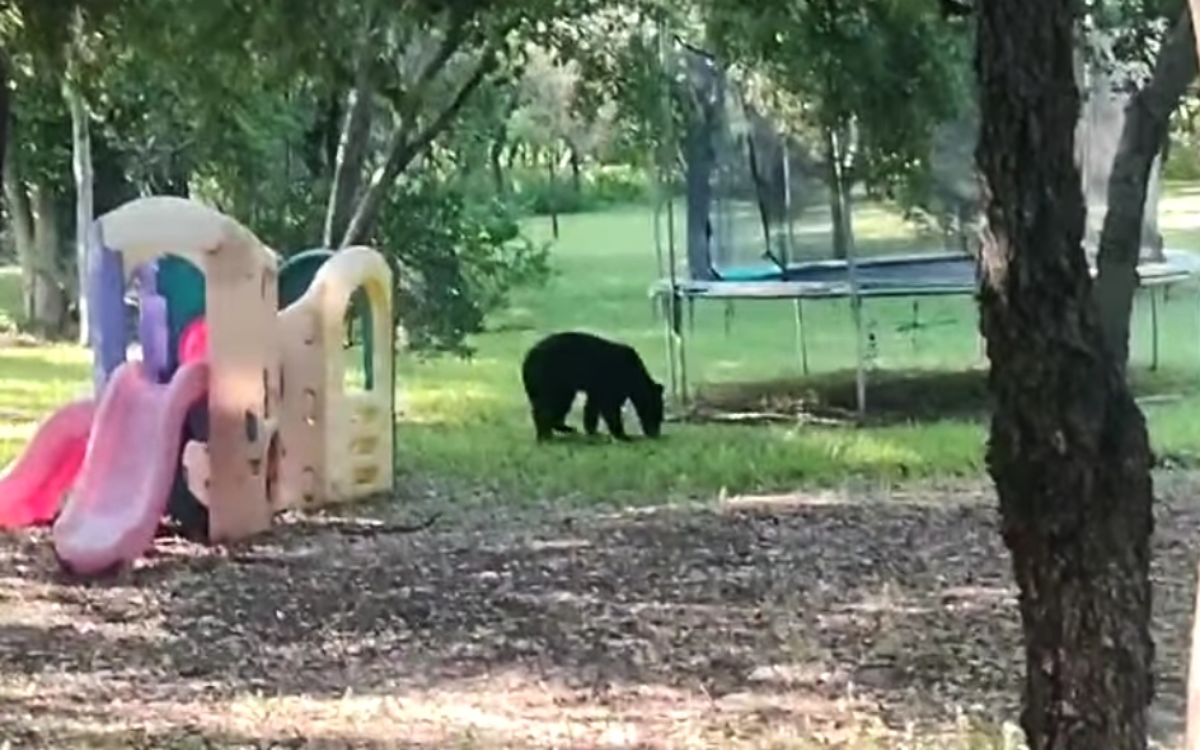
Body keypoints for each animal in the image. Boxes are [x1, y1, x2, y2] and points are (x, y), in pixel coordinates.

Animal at [520, 331, 667, 441]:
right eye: (656, 415)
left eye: (660, 417)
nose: (655, 434)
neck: (634, 375)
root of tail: (526, 360)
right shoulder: (612, 381)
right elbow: (609, 406)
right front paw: (623, 435)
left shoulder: (598, 388)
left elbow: (592, 406)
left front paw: (593, 431)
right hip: (551, 378)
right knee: (551, 404)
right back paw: (546, 435)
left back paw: (562, 428)